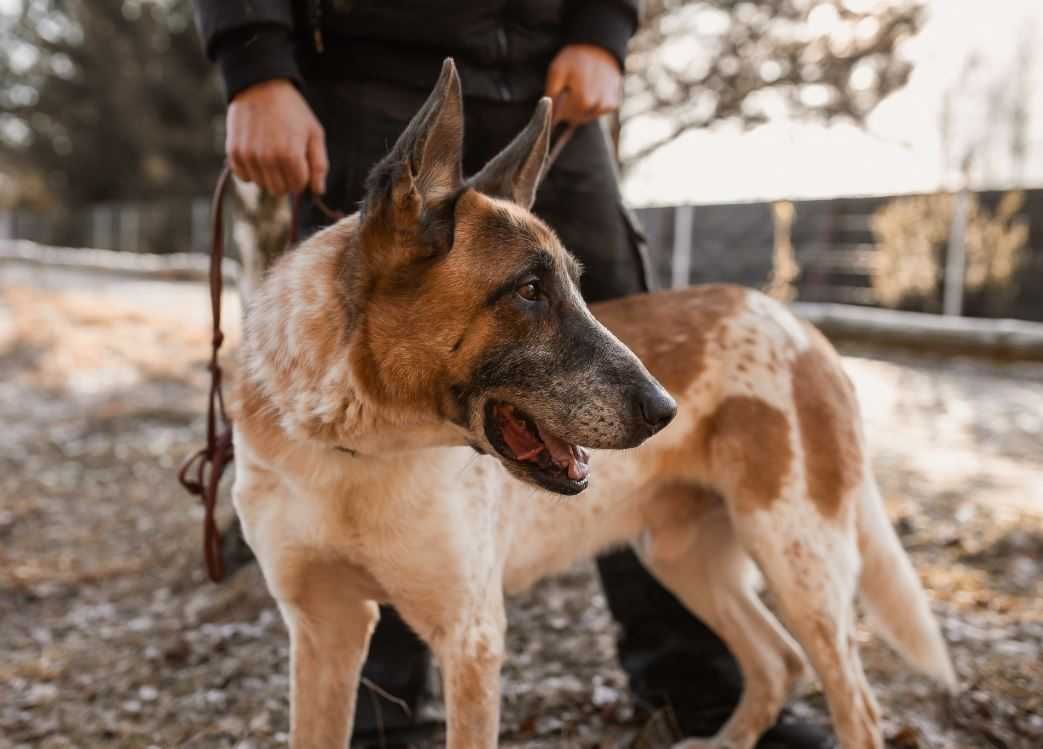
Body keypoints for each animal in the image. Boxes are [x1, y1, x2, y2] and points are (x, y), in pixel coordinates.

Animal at [228, 60, 955, 749]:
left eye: (577, 288)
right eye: (529, 290)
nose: (666, 410)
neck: (355, 445)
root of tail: (800, 326)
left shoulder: (469, 634)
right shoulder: (324, 628)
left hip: (798, 555)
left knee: (852, 702)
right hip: (684, 556)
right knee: (778, 660)